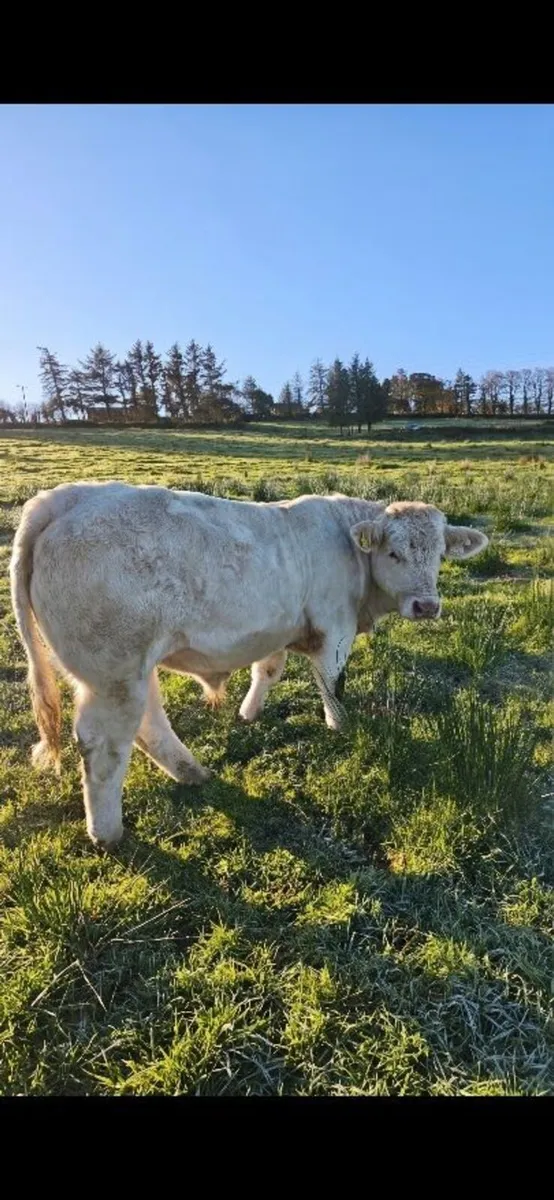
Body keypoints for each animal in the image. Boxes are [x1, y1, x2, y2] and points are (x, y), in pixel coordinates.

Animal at [10, 482, 488, 848]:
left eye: (440, 554)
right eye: (393, 554)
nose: (427, 606)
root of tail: (67, 496)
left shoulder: (276, 629)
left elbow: (268, 670)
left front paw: (249, 712)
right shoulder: (335, 626)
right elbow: (331, 682)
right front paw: (340, 726)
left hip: (131, 670)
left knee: (148, 724)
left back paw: (192, 772)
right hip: (113, 670)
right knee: (105, 745)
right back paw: (108, 832)